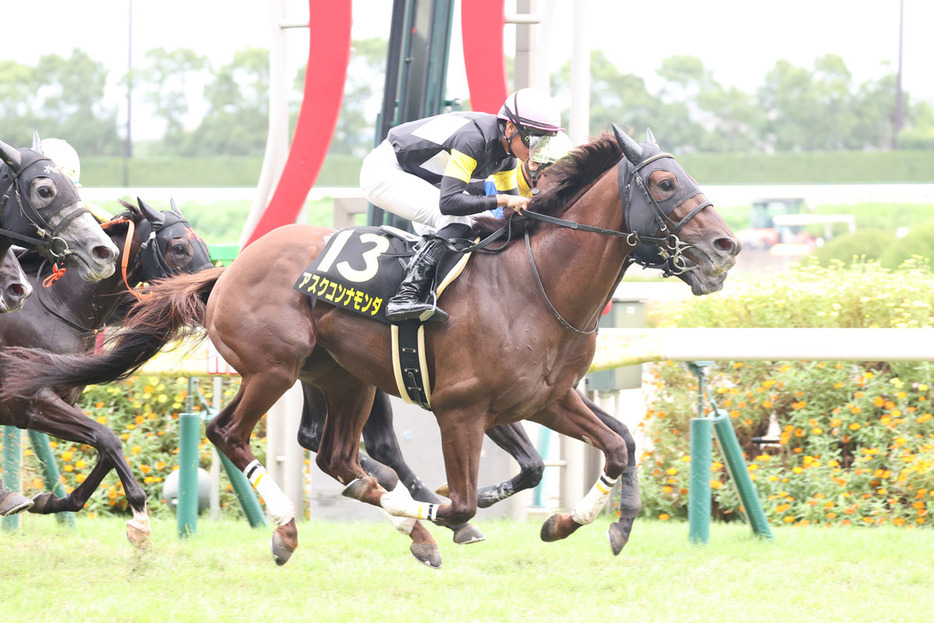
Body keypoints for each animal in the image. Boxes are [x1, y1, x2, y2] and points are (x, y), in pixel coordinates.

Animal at [0, 200, 211, 540]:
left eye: (203, 244)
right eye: (179, 247)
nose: (211, 290)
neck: (59, 306)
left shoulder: (59, 400)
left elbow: (105, 446)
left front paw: (52, 501)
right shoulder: (27, 401)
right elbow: (108, 438)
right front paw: (140, 518)